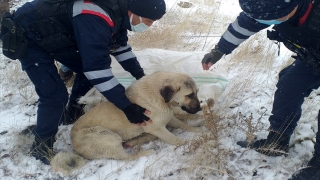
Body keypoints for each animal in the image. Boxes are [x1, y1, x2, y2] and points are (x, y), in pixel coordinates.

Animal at [51, 71, 201, 174]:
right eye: (189, 95)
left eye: (197, 92)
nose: (200, 108)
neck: (160, 97)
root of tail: (74, 148)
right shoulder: (157, 128)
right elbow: (176, 139)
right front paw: (191, 141)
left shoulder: (169, 118)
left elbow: (184, 125)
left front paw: (198, 130)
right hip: (109, 136)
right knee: (126, 158)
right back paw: (144, 153)